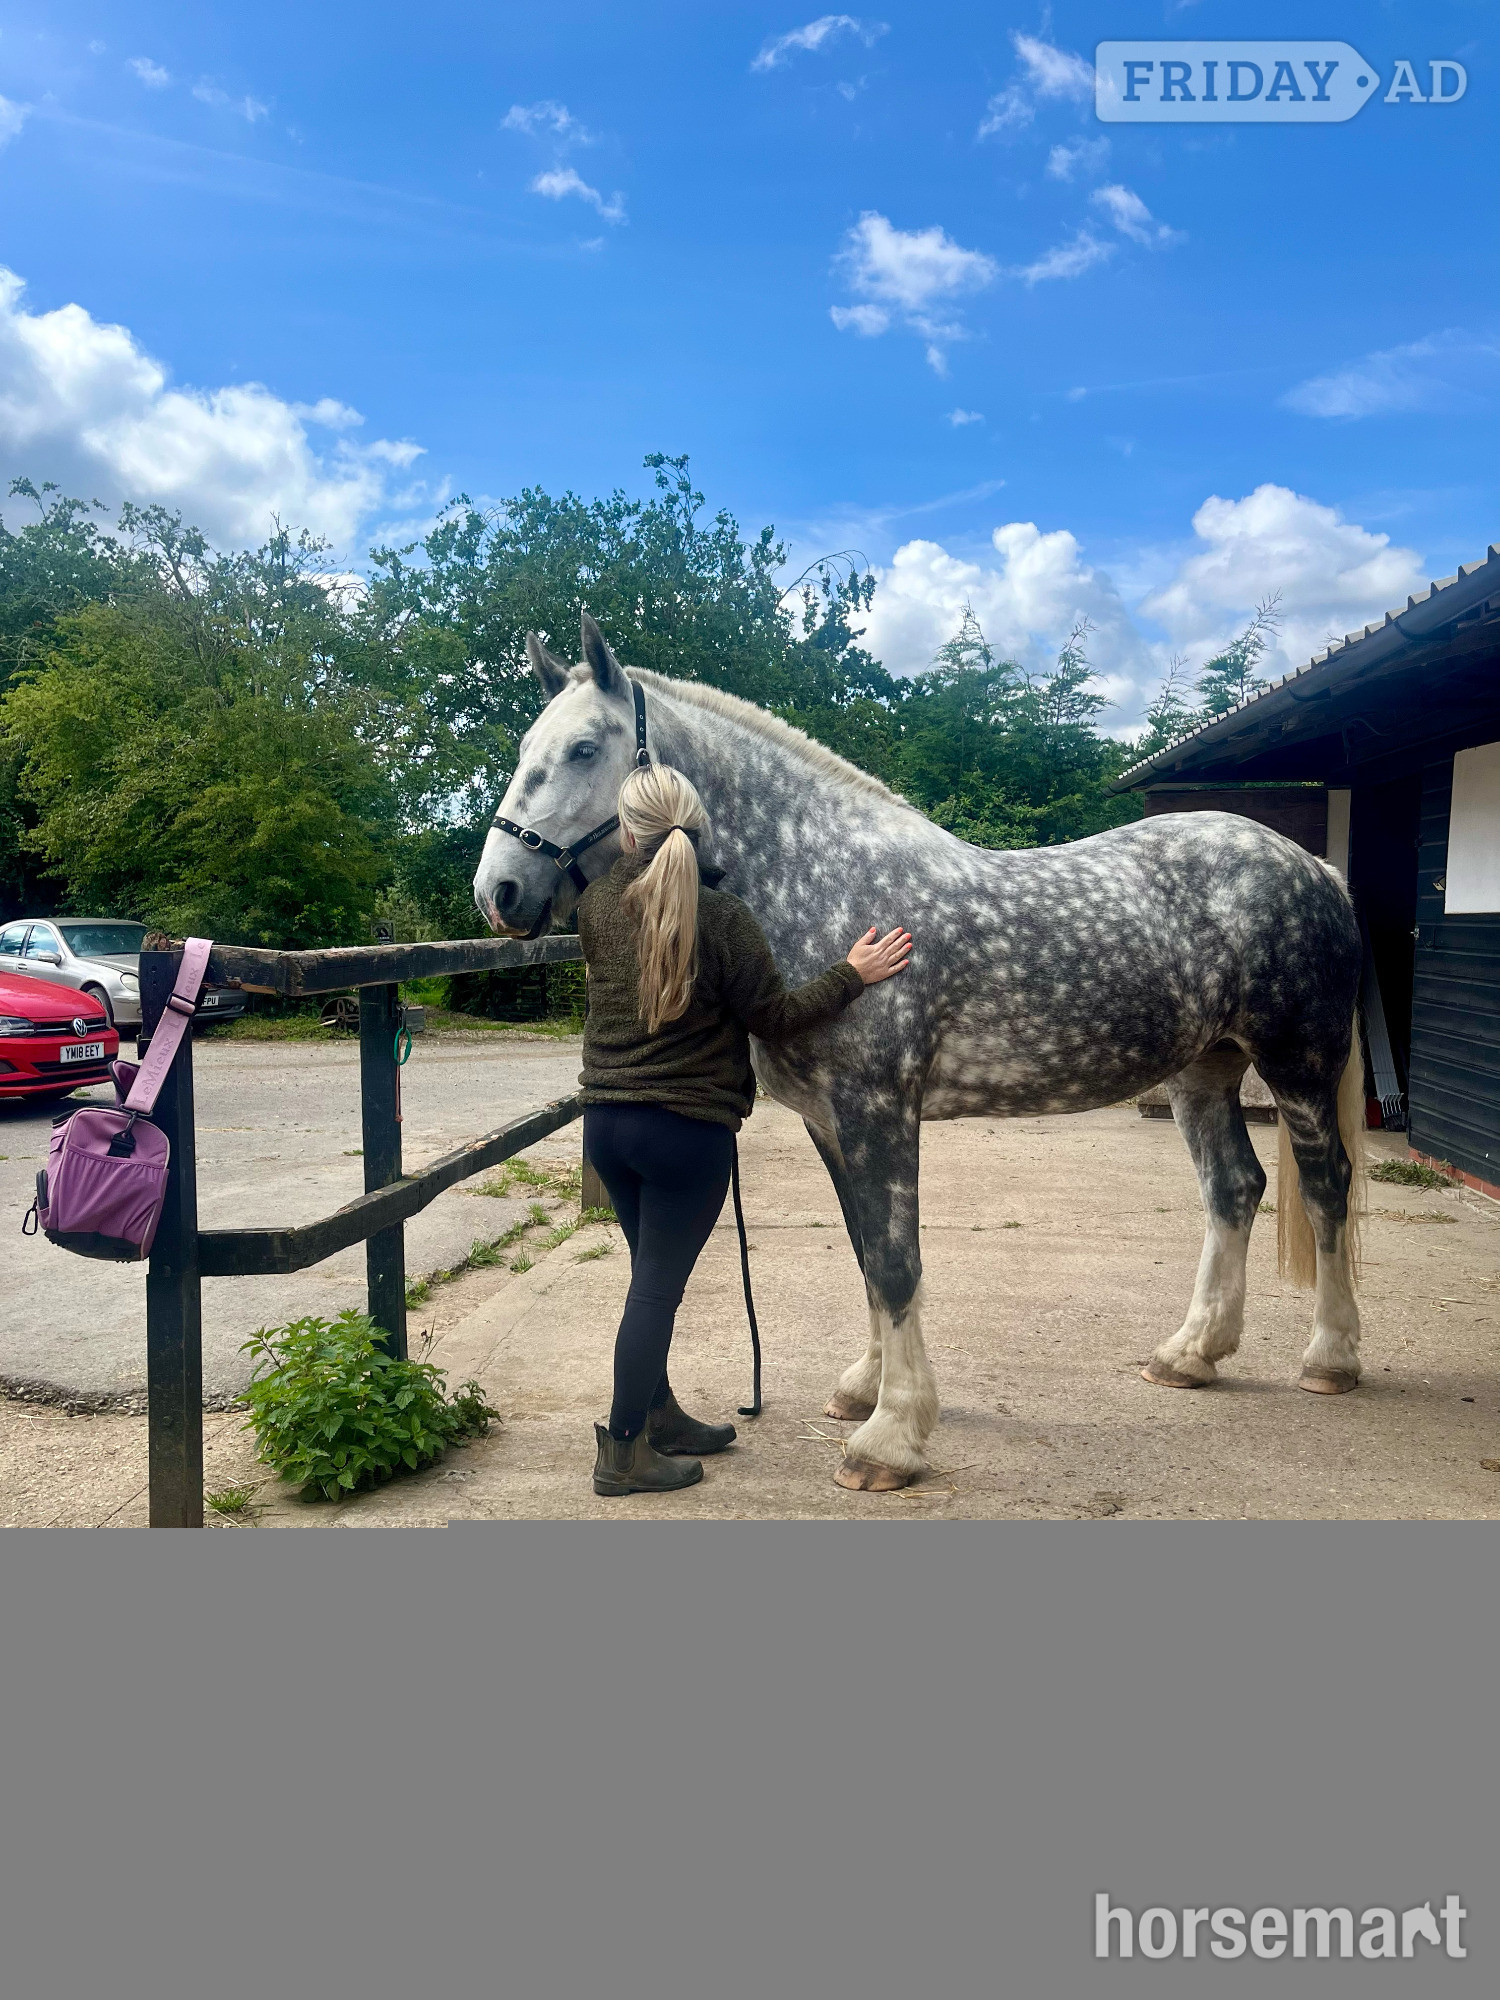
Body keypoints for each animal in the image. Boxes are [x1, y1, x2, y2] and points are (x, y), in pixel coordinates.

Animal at [473, 613, 1365, 1491]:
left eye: (584, 749)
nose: (498, 893)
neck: (830, 890)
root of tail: (1314, 866)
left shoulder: (879, 1108)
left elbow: (898, 1261)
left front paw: (890, 1439)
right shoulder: (830, 1123)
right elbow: (868, 1252)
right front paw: (865, 1391)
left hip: (1297, 1064)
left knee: (1326, 1187)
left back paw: (1331, 1359)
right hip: (1203, 1071)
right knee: (1235, 1188)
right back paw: (1190, 1354)